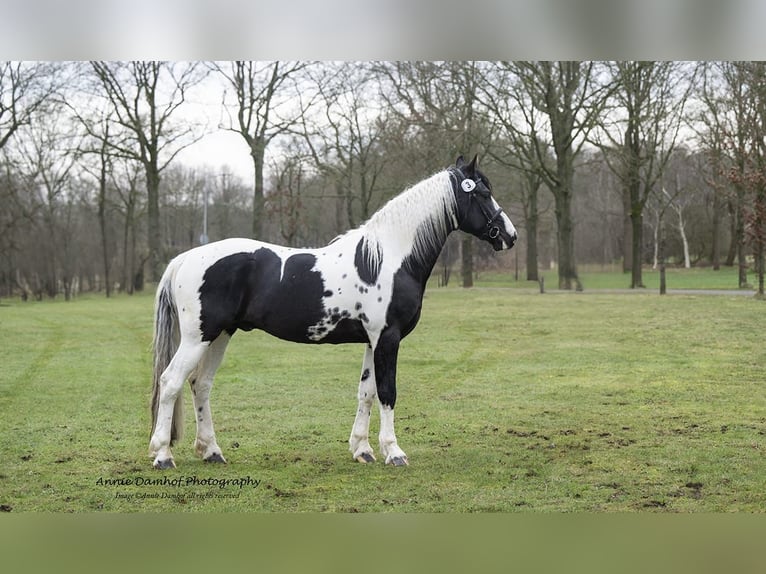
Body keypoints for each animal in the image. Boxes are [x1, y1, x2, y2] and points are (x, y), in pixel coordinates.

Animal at [148, 155, 520, 470]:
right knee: (170, 382)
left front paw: (363, 450)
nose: (510, 236)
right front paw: (394, 452)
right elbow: (388, 392)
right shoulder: (388, 338)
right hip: (198, 338)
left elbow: (367, 392)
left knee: (201, 384)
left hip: (220, 335)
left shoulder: (372, 341)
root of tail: (185, 258)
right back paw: (163, 455)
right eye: (483, 193)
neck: (387, 258)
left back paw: (211, 451)